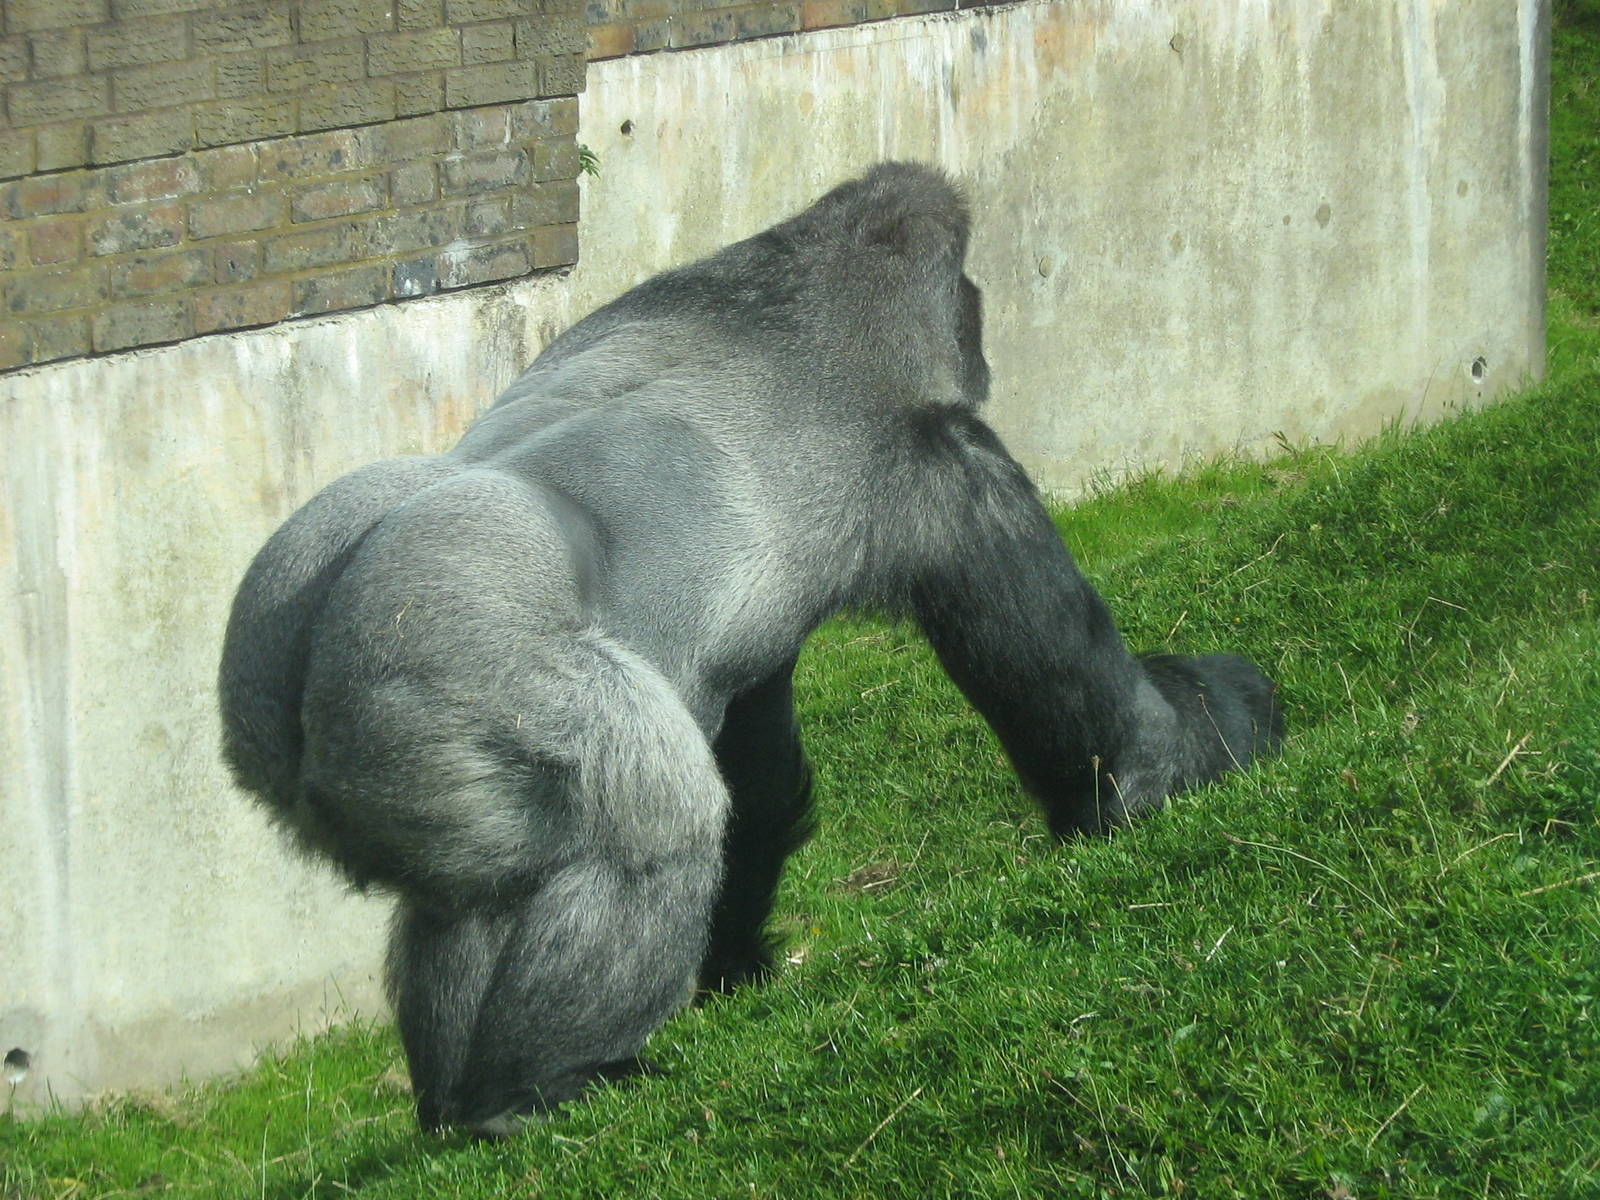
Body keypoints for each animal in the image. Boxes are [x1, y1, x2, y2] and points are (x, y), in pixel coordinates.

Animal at [219, 162, 1282, 1136]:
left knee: (469, 894)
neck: (806, 301)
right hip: (447, 656)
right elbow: (1111, 732)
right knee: (651, 821)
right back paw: (533, 1091)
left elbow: (759, 784)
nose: (984, 325)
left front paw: (733, 968)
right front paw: (1211, 734)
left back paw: (453, 1106)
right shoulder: (948, 470)